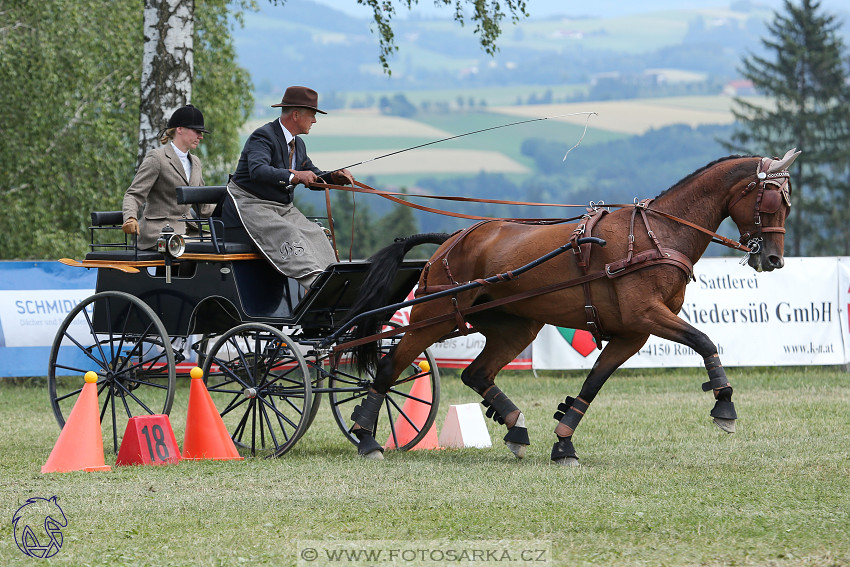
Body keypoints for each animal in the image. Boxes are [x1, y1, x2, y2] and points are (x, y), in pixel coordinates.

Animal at [342, 150, 800, 466]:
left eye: (787, 204)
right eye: (771, 202)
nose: (773, 259)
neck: (658, 235)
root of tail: (452, 238)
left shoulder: (633, 332)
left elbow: (593, 384)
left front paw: (564, 442)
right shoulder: (647, 315)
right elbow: (704, 340)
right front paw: (724, 404)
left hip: (515, 326)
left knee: (477, 373)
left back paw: (515, 427)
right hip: (434, 316)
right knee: (389, 368)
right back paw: (366, 437)